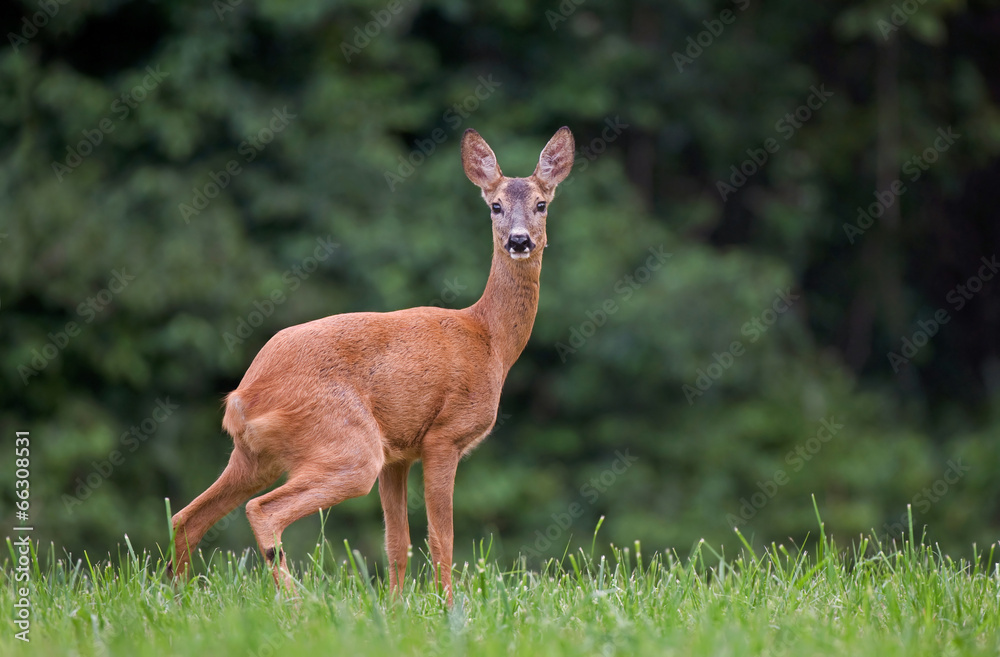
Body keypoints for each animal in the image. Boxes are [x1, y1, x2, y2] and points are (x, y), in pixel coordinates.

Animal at [168, 127, 575, 604]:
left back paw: (176, 595)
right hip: (348, 444)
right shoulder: (444, 436)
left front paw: (396, 605)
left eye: (541, 203)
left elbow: (397, 541)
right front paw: (449, 605)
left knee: (186, 517)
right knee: (261, 510)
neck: (489, 339)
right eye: (495, 205)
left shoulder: (398, 453)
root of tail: (241, 398)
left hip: (257, 456)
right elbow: (442, 537)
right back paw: (296, 602)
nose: (519, 240)